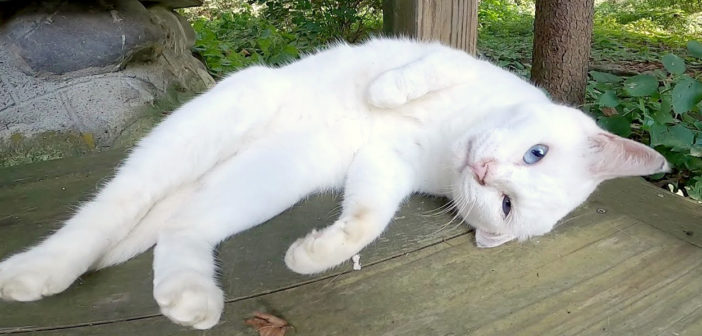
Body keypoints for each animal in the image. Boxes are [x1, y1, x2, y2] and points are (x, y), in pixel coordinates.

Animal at [0, 38, 672, 328]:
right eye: (535, 154)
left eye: (504, 205)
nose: (483, 172)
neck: (452, 137)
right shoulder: (453, 59)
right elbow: (425, 70)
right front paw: (387, 90)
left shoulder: (385, 166)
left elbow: (368, 216)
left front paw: (318, 253)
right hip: (217, 122)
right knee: (112, 207)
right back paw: (39, 271)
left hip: (268, 176)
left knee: (180, 227)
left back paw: (188, 296)